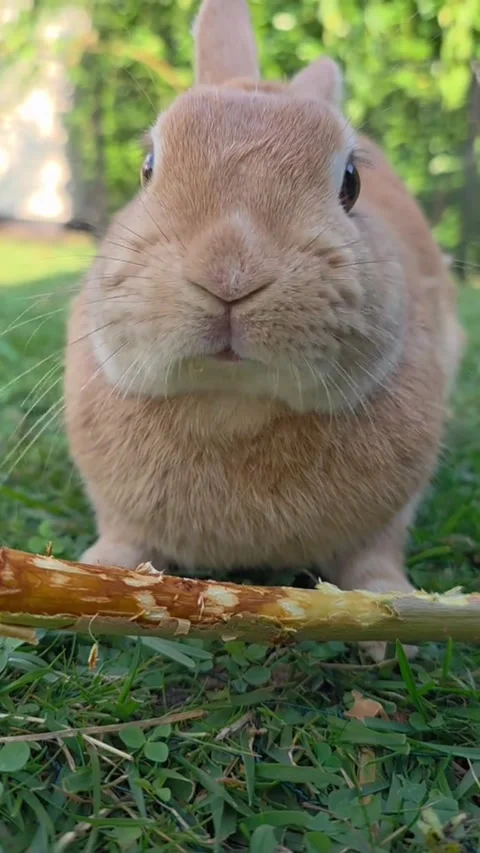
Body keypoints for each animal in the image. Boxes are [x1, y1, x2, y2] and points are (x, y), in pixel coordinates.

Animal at [65, 0, 464, 660]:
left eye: (351, 183)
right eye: (148, 168)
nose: (230, 274)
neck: (232, 406)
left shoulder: (390, 516)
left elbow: (375, 560)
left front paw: (392, 628)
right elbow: (122, 541)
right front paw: (90, 573)